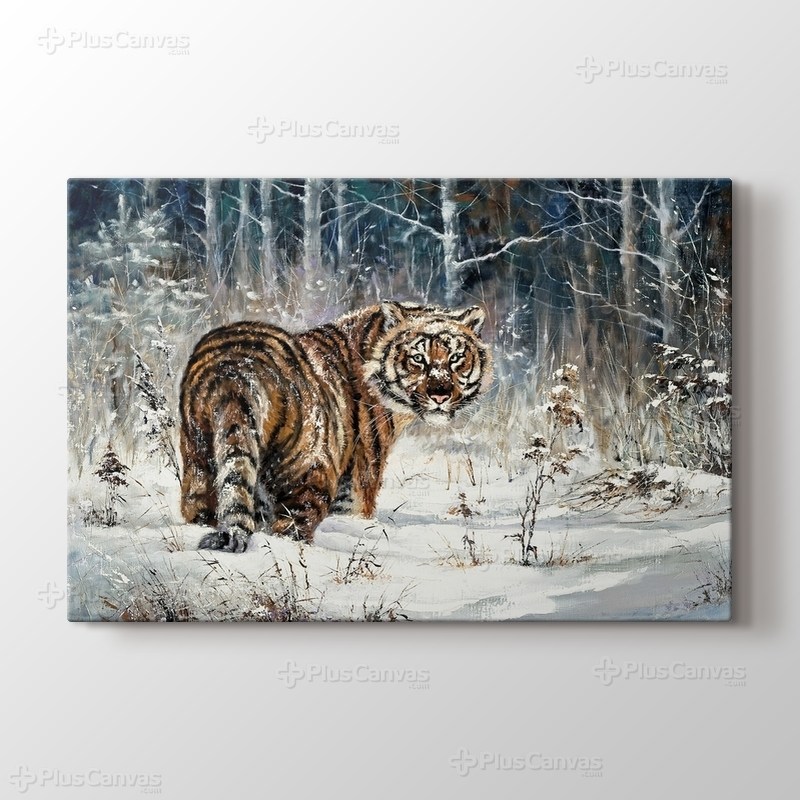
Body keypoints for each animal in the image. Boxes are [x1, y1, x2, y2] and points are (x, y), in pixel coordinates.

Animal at [179, 301, 491, 552]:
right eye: (418, 359)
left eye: (455, 358)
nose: (440, 394)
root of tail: (235, 367)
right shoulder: (358, 477)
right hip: (309, 472)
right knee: (291, 527)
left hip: (199, 462)